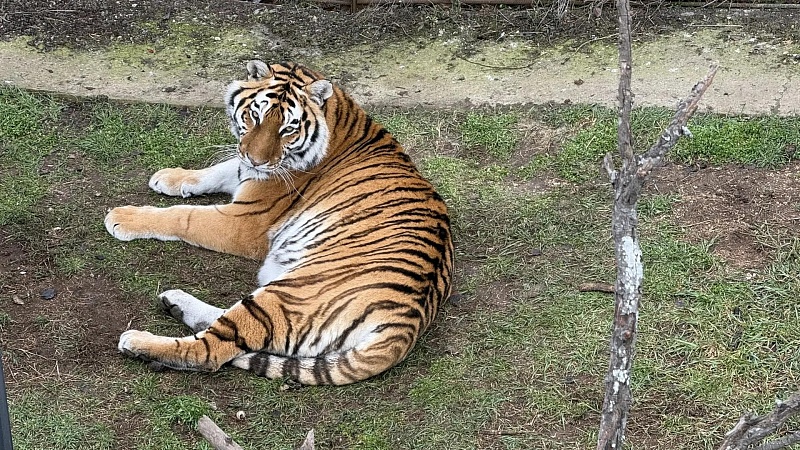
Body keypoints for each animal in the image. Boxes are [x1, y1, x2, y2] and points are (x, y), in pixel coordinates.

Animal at [104, 60, 453, 385]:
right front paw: (169, 177)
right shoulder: (244, 170)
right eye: (255, 117)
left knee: (212, 349)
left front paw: (122, 217)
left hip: (287, 294)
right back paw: (175, 303)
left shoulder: (243, 221)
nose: (257, 160)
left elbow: (183, 216)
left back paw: (138, 342)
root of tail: (407, 323)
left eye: (288, 129)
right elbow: (217, 169)